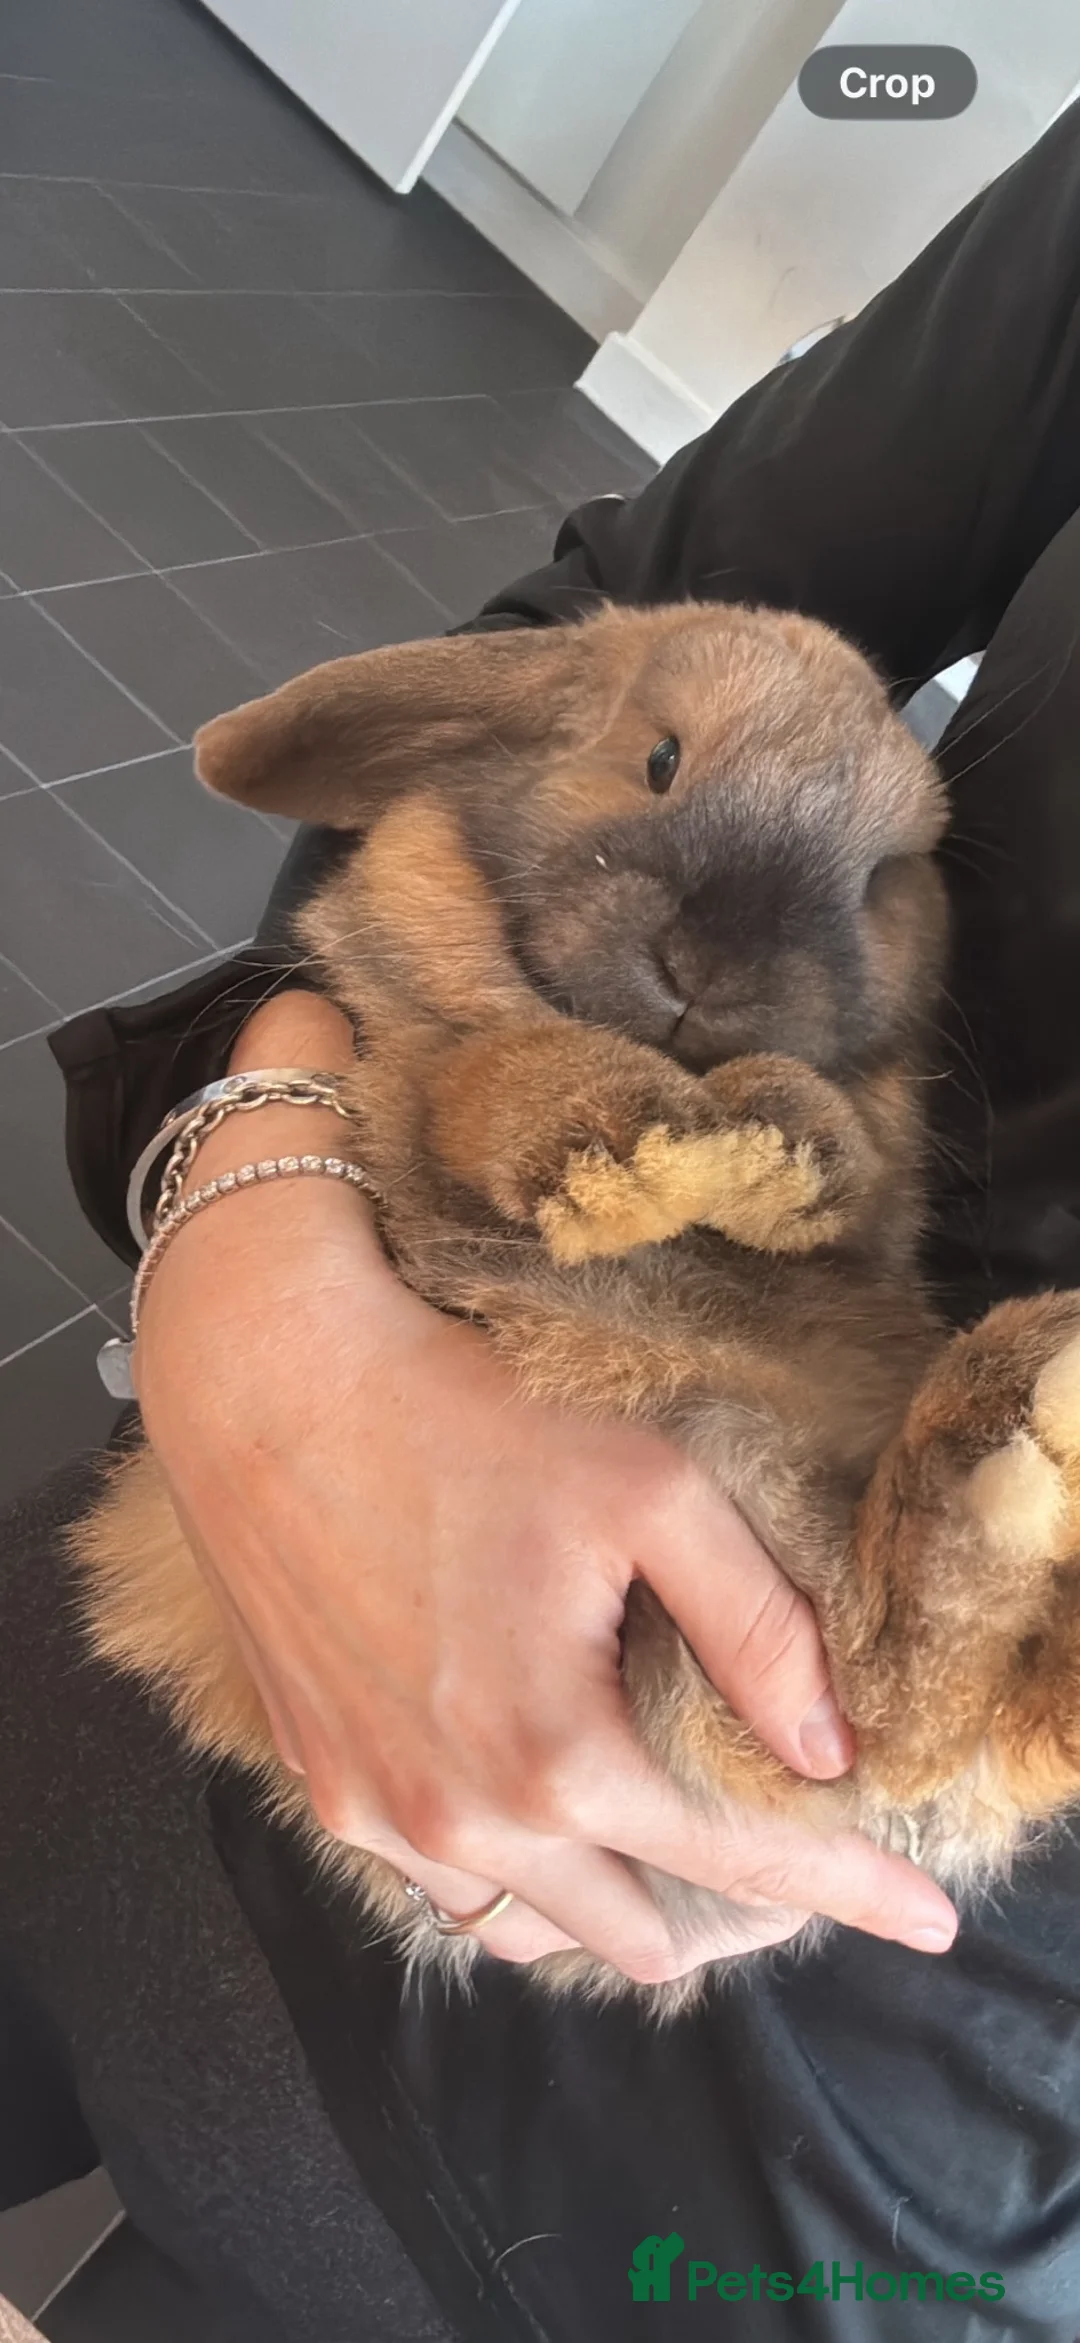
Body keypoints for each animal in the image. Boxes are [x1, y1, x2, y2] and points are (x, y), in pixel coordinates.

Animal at [72, 601, 1080, 2015]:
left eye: (888, 875)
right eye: (659, 757)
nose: (714, 966)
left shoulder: (882, 1203)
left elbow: (851, 1165)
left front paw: (778, 1147)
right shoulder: (428, 1058)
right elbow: (497, 1074)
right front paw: (642, 1152)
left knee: (927, 1709)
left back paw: (1023, 1412)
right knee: (903, 1702)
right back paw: (1023, 1425)